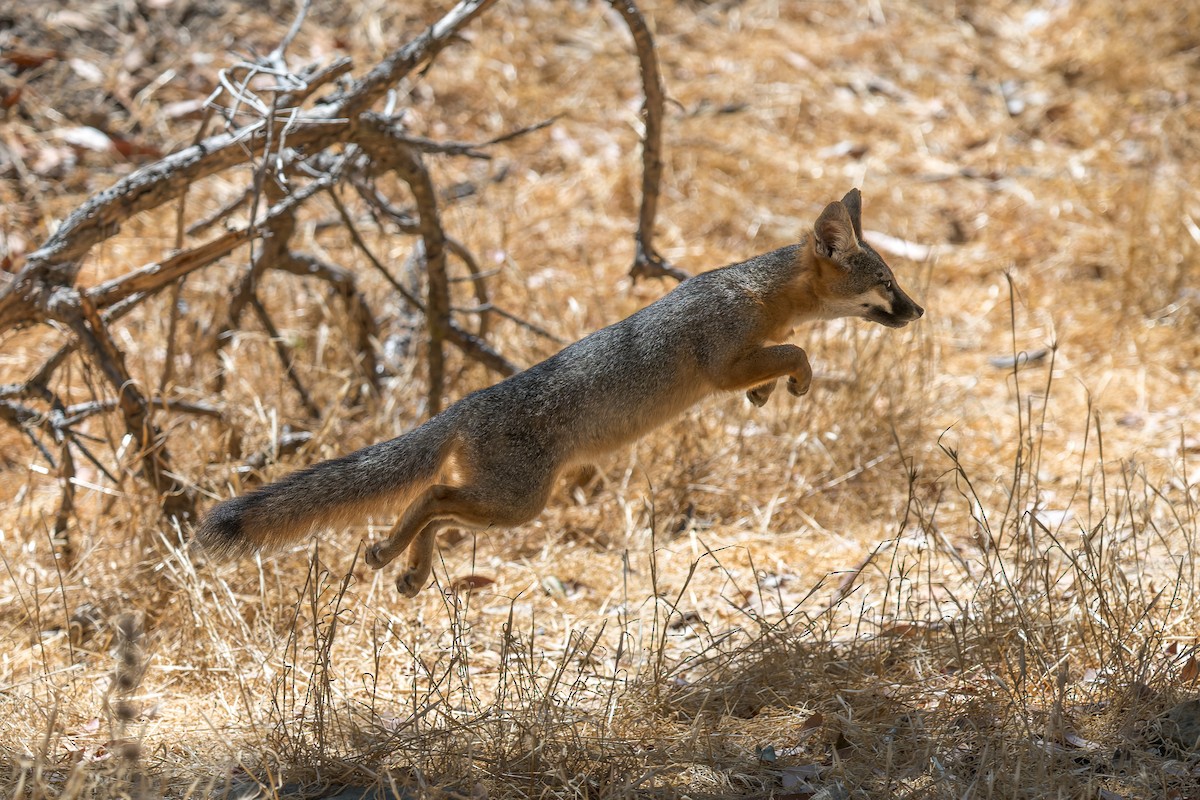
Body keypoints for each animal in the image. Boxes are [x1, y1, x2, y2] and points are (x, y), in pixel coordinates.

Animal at [194, 189, 924, 596]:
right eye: (887, 285)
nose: (918, 311)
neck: (759, 293)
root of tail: (461, 406)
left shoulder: (743, 358)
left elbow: (780, 359)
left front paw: (767, 397)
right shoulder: (722, 363)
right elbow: (798, 351)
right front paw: (795, 380)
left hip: (506, 503)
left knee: (437, 505)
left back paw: (409, 571)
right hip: (519, 503)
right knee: (432, 497)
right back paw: (393, 555)